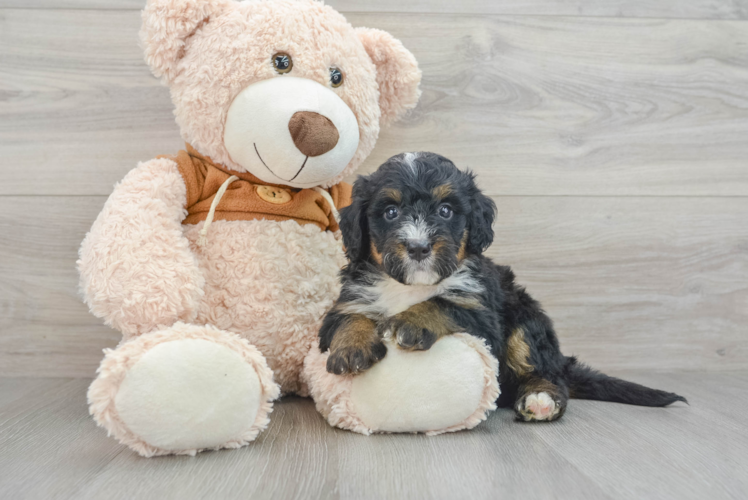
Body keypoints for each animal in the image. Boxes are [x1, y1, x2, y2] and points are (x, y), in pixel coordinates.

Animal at [318, 152, 688, 422]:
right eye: (391, 212)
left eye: (446, 210)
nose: (419, 247)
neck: (411, 286)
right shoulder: (346, 302)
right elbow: (350, 318)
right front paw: (351, 350)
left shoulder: (484, 315)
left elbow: (445, 304)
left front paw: (411, 320)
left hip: (525, 321)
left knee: (547, 373)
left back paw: (541, 399)